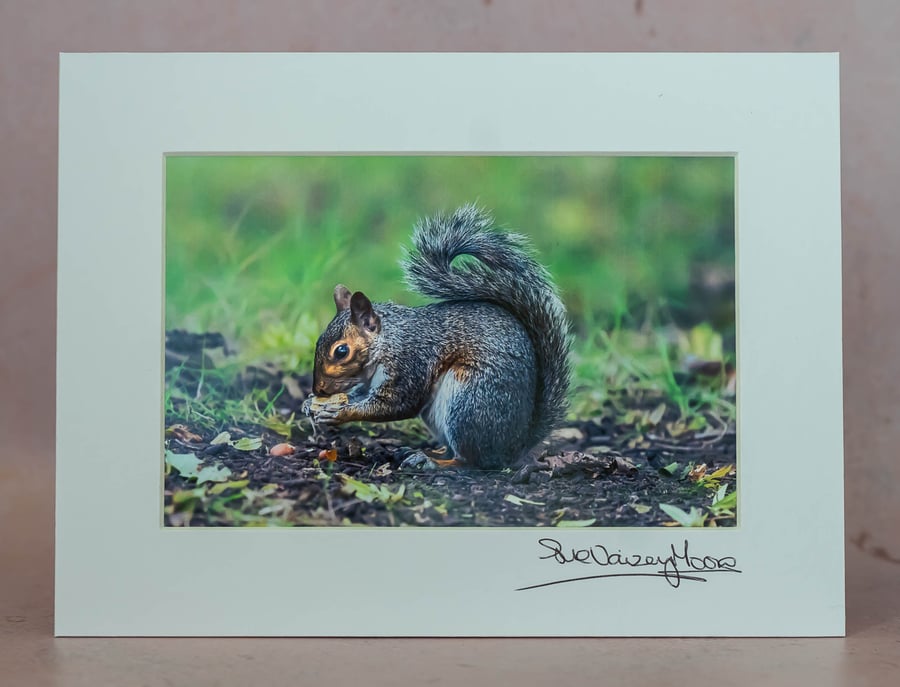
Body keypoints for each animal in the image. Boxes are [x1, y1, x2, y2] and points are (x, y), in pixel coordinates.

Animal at [302, 204, 570, 470]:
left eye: (341, 351)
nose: (319, 389)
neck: (388, 342)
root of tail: (516, 445)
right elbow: (360, 395)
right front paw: (311, 403)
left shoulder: (410, 364)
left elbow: (396, 404)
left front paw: (340, 413)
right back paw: (427, 452)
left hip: (468, 403)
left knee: (470, 461)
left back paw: (433, 461)